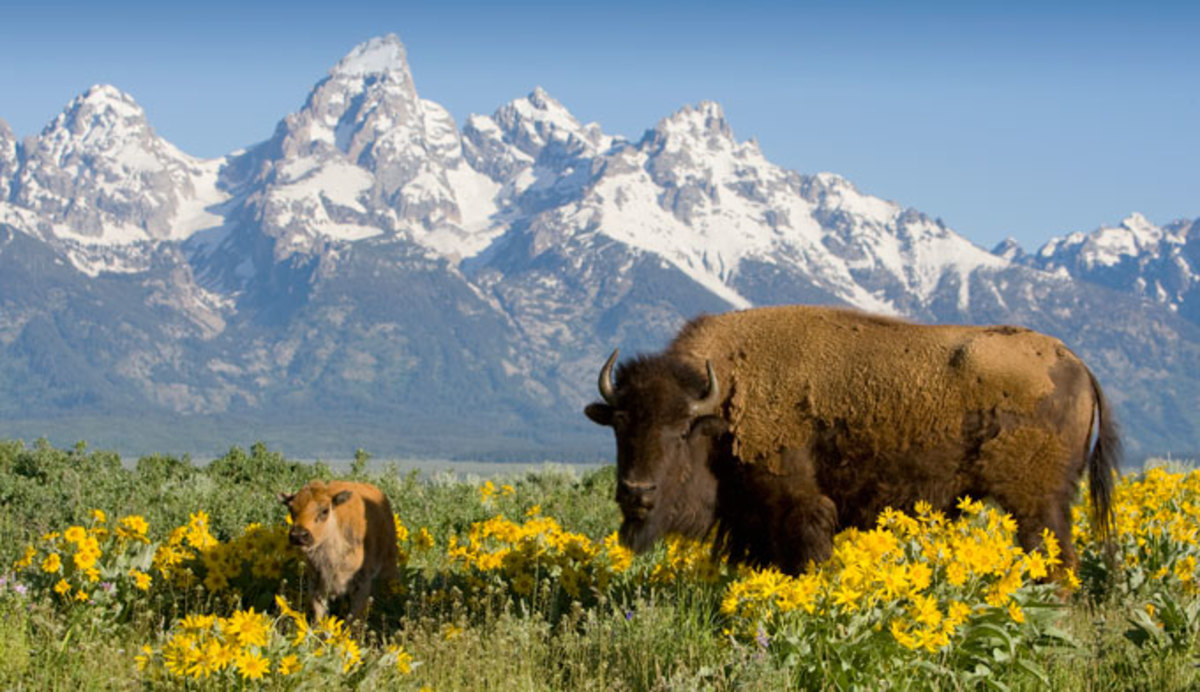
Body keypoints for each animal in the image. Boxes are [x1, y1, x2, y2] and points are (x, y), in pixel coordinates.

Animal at [585, 305, 1119, 574]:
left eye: (680, 431)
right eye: (620, 425)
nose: (636, 492)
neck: (722, 400)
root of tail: (1075, 361)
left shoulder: (800, 508)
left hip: (1037, 505)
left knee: (1056, 562)